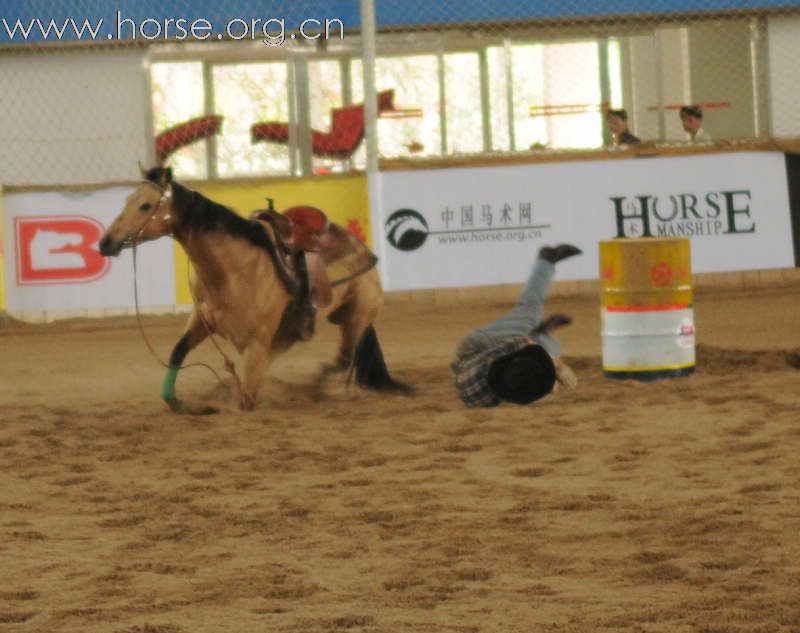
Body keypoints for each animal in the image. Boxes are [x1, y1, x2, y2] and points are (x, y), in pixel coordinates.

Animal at [99, 165, 410, 410]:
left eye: (145, 205)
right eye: (128, 199)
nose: (105, 242)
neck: (232, 272)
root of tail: (364, 250)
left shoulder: (256, 346)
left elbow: (246, 398)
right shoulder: (201, 320)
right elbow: (177, 352)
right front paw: (175, 400)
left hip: (356, 318)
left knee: (344, 359)